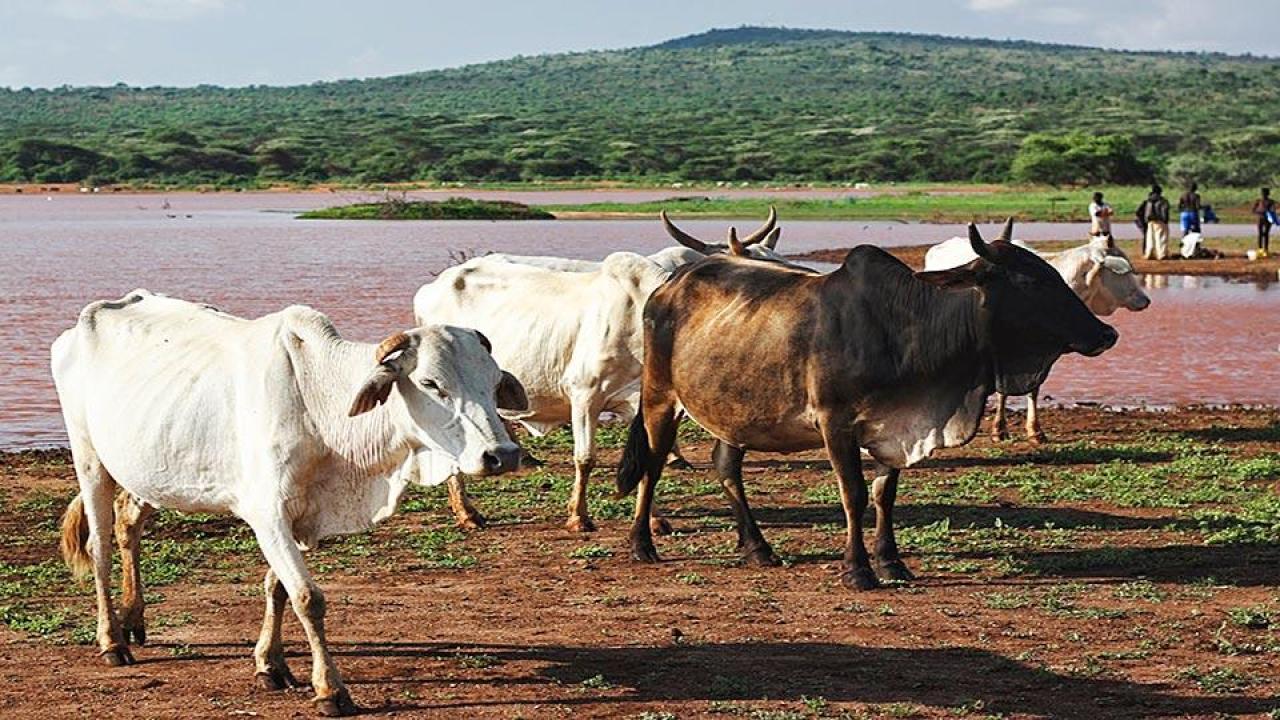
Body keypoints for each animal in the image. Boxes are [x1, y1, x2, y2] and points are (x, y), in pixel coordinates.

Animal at [52, 288, 527, 712]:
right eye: (431, 383)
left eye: (493, 382)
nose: (502, 455)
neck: (318, 404)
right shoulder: (269, 515)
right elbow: (307, 598)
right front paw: (330, 690)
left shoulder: (301, 516)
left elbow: (277, 587)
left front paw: (271, 664)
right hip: (89, 458)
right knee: (99, 546)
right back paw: (112, 640)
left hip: (149, 468)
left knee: (129, 523)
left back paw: (133, 619)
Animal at [414, 210, 783, 530]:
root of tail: (431, 288)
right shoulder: (584, 395)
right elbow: (585, 458)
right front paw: (579, 516)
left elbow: (645, 458)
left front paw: (653, 519)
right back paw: (468, 512)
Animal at [614, 220, 1116, 589]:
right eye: (1031, 281)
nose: (1106, 333)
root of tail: (671, 285)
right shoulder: (836, 423)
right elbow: (853, 494)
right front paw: (857, 570)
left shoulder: (893, 428)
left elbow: (883, 494)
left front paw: (892, 562)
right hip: (660, 397)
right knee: (653, 465)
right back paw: (642, 544)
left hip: (735, 413)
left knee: (726, 467)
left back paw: (757, 547)